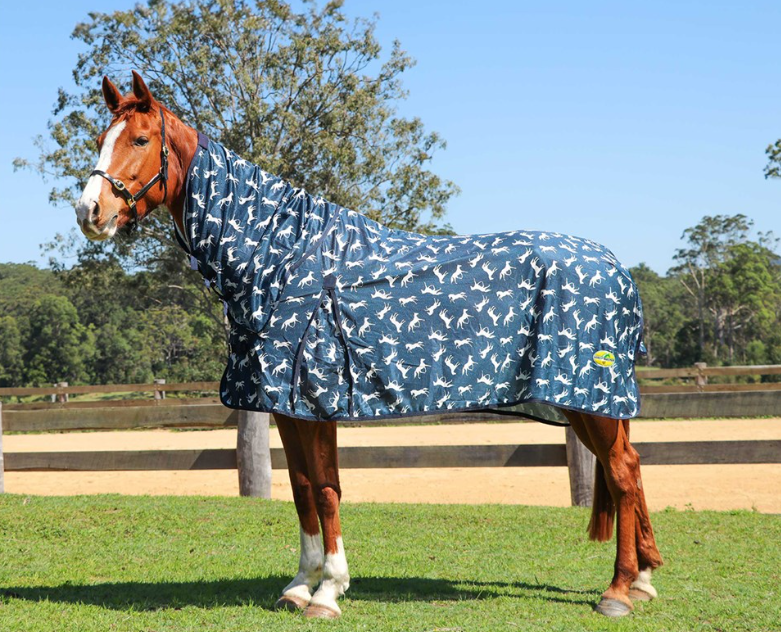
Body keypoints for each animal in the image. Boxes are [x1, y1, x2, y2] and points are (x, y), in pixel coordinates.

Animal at [75, 71, 662, 619]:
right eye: (102, 138)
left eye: (141, 139)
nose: (89, 212)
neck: (279, 259)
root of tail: (616, 268)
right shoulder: (288, 407)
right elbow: (302, 488)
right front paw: (299, 586)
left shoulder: (315, 403)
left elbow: (326, 489)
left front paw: (328, 592)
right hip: (589, 405)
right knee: (630, 468)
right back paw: (642, 580)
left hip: (590, 398)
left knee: (622, 474)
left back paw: (617, 592)